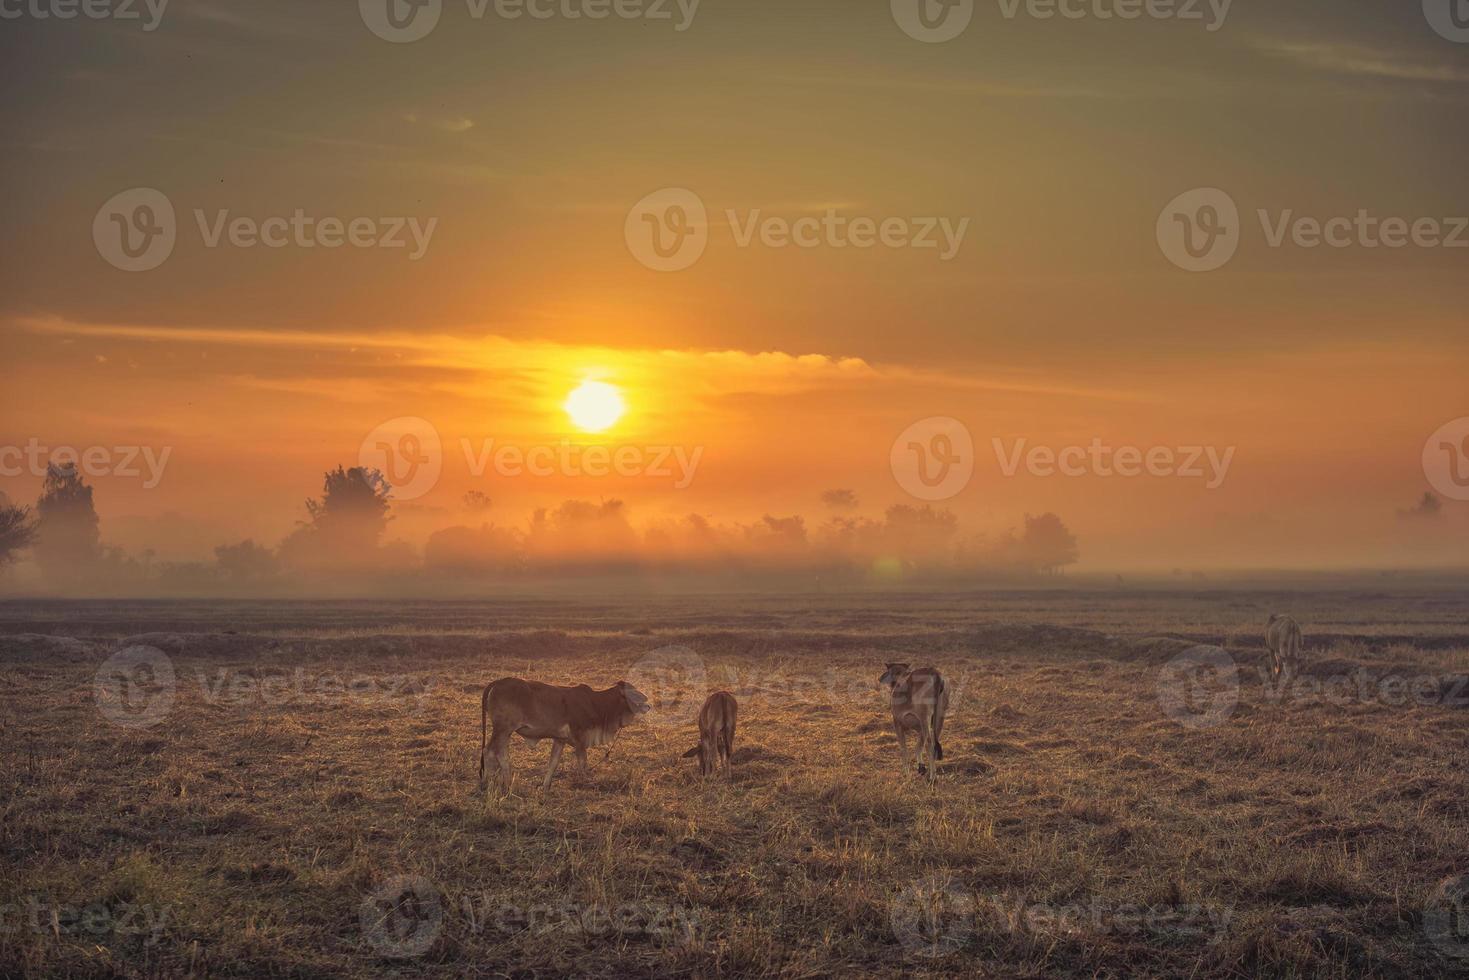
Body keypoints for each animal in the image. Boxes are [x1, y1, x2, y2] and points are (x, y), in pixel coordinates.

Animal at [481, 678, 649, 793]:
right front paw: (585, 784)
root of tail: (498, 682)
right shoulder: (580, 738)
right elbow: (583, 763)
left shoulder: (559, 739)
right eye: (632, 692)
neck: (596, 703)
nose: (648, 703)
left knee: (501, 753)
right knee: (490, 752)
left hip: (504, 732)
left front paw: (546, 786)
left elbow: (553, 763)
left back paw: (506, 783)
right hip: (502, 729)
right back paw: (489, 784)